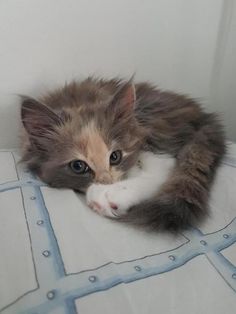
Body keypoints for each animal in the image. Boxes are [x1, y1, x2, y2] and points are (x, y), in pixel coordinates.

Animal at [21, 77, 226, 232]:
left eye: (115, 156)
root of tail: (204, 116)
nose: (107, 183)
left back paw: (111, 194)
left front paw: (109, 191)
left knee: (165, 166)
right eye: (78, 166)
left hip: (149, 120)